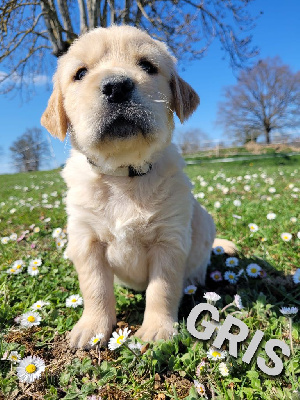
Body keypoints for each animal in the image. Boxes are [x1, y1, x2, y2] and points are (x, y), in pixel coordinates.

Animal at [41, 26, 234, 348]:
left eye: (147, 66)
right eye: (80, 73)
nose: (116, 87)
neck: (123, 176)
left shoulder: (169, 240)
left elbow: (162, 289)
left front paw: (157, 330)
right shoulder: (86, 240)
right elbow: (95, 288)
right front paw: (93, 328)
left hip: (204, 221)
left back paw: (194, 279)